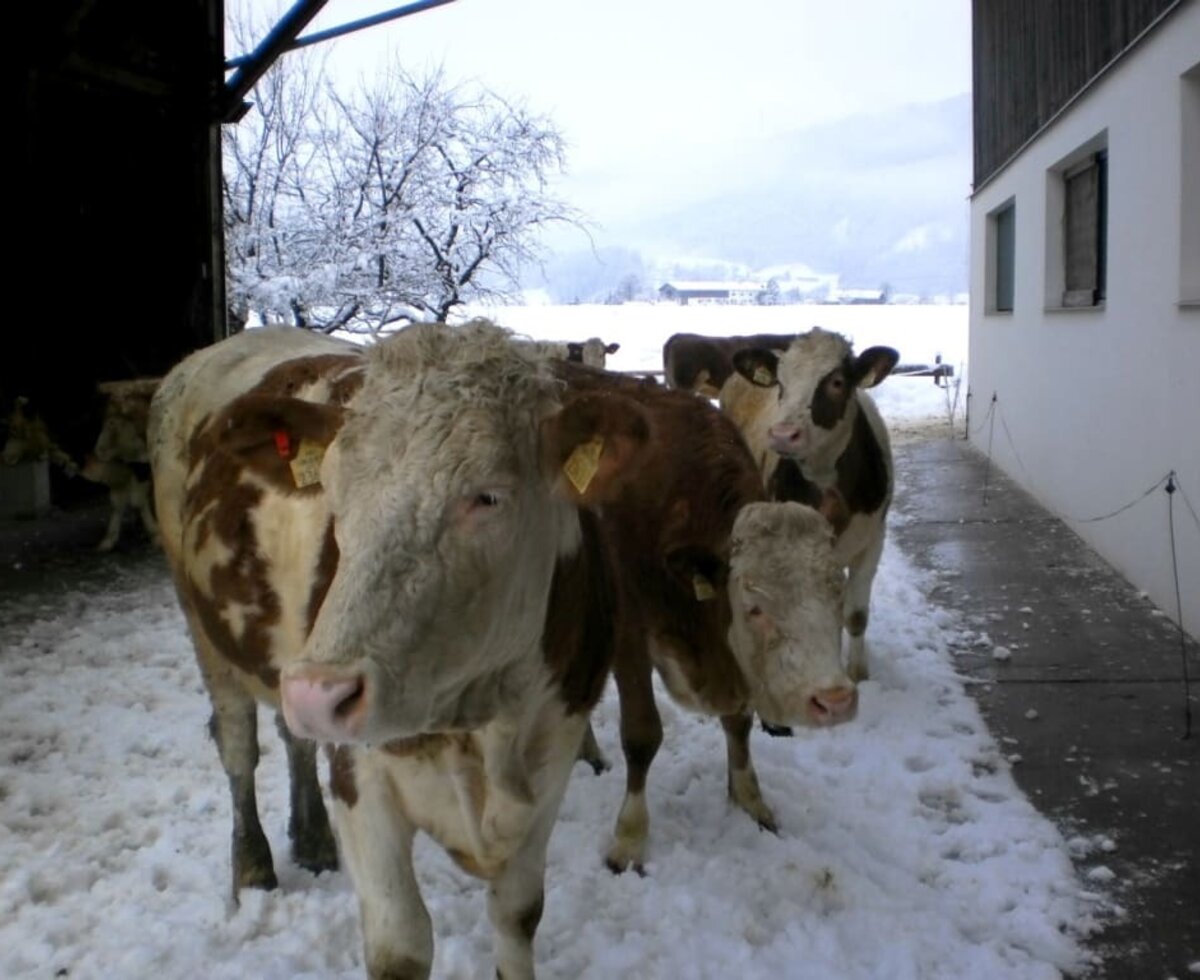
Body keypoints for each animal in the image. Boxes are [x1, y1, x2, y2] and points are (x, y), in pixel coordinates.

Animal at [153, 323, 657, 978]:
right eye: (333, 489)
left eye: (487, 497)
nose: (319, 693)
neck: (490, 721)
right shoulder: (362, 779)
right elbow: (401, 945)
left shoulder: (553, 757)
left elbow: (519, 915)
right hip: (209, 631)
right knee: (239, 747)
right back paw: (255, 868)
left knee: (295, 739)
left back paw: (312, 838)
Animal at [549, 364, 859, 873]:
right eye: (754, 607)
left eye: (838, 591)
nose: (834, 700)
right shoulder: (630, 635)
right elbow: (642, 734)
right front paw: (629, 838)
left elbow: (739, 724)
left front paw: (750, 800)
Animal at [720, 323, 902, 686]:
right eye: (781, 383)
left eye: (837, 382)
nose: (783, 435)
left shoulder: (874, 539)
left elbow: (855, 615)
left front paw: (857, 672)